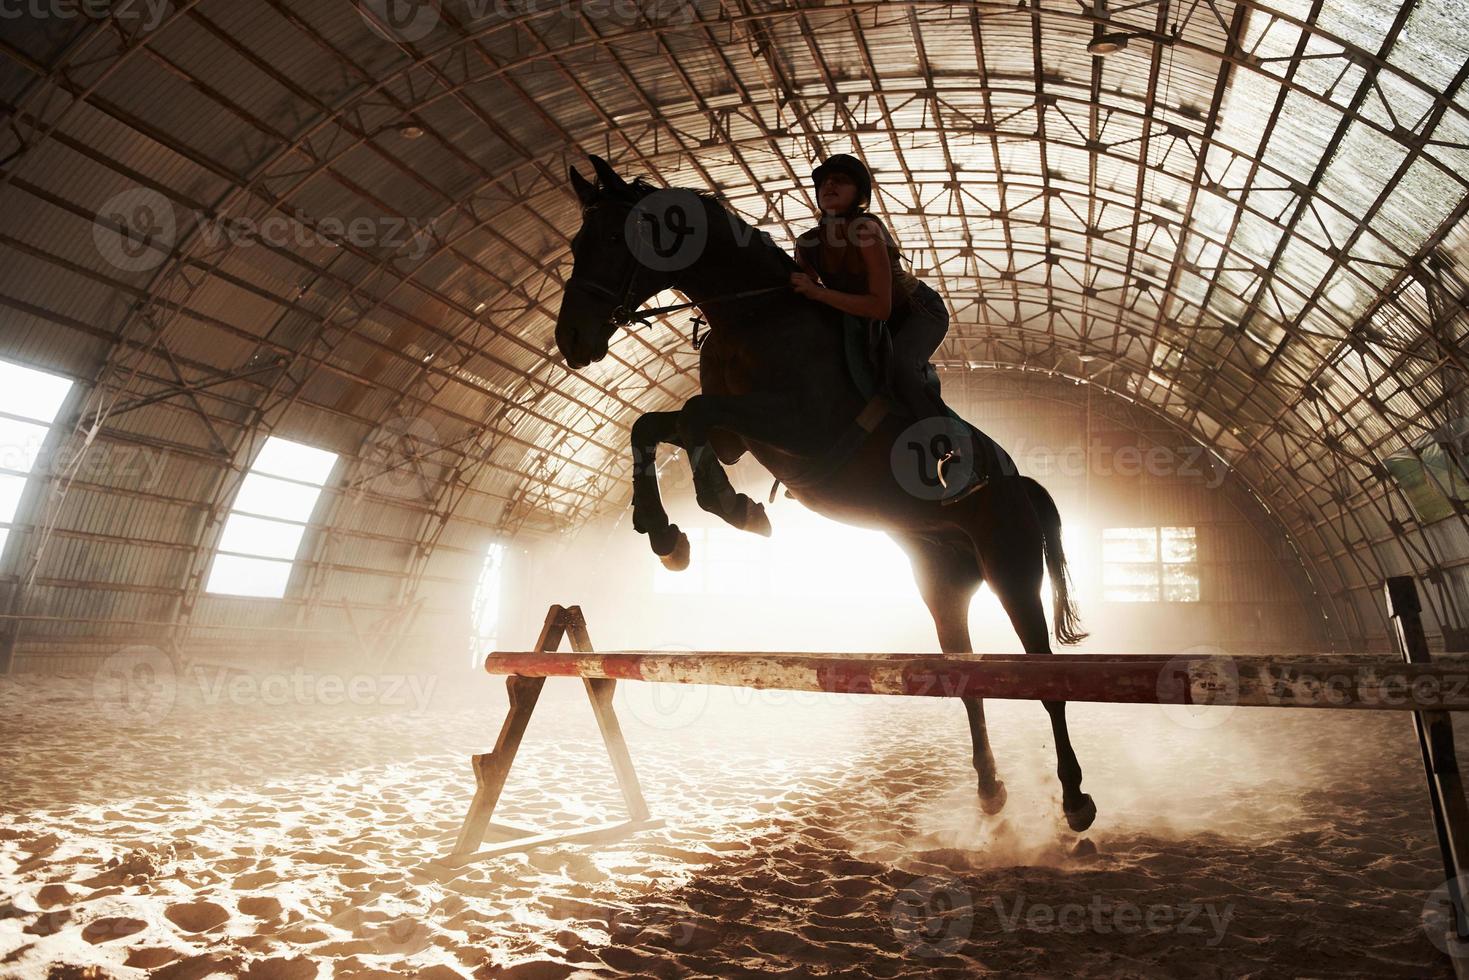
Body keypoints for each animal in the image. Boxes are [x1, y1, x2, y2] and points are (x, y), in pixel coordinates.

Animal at [555, 157, 1098, 834]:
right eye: (575, 244)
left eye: (611, 238)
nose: (571, 340)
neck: (753, 317)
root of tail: (1019, 483)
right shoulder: (737, 435)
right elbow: (653, 425)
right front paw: (669, 536)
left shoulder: (799, 428)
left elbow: (694, 414)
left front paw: (733, 511)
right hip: (942, 583)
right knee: (966, 676)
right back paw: (990, 791)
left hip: (1012, 571)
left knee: (1044, 677)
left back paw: (1075, 800)